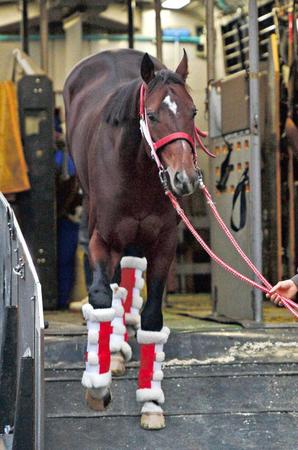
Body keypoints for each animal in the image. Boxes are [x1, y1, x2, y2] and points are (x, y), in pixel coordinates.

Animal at [64, 48, 201, 428]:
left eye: (193, 111)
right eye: (152, 115)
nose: (184, 179)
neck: (135, 170)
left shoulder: (164, 245)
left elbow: (152, 317)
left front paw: (151, 403)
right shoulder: (102, 240)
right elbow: (100, 295)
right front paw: (98, 387)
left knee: (128, 273)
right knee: (114, 284)